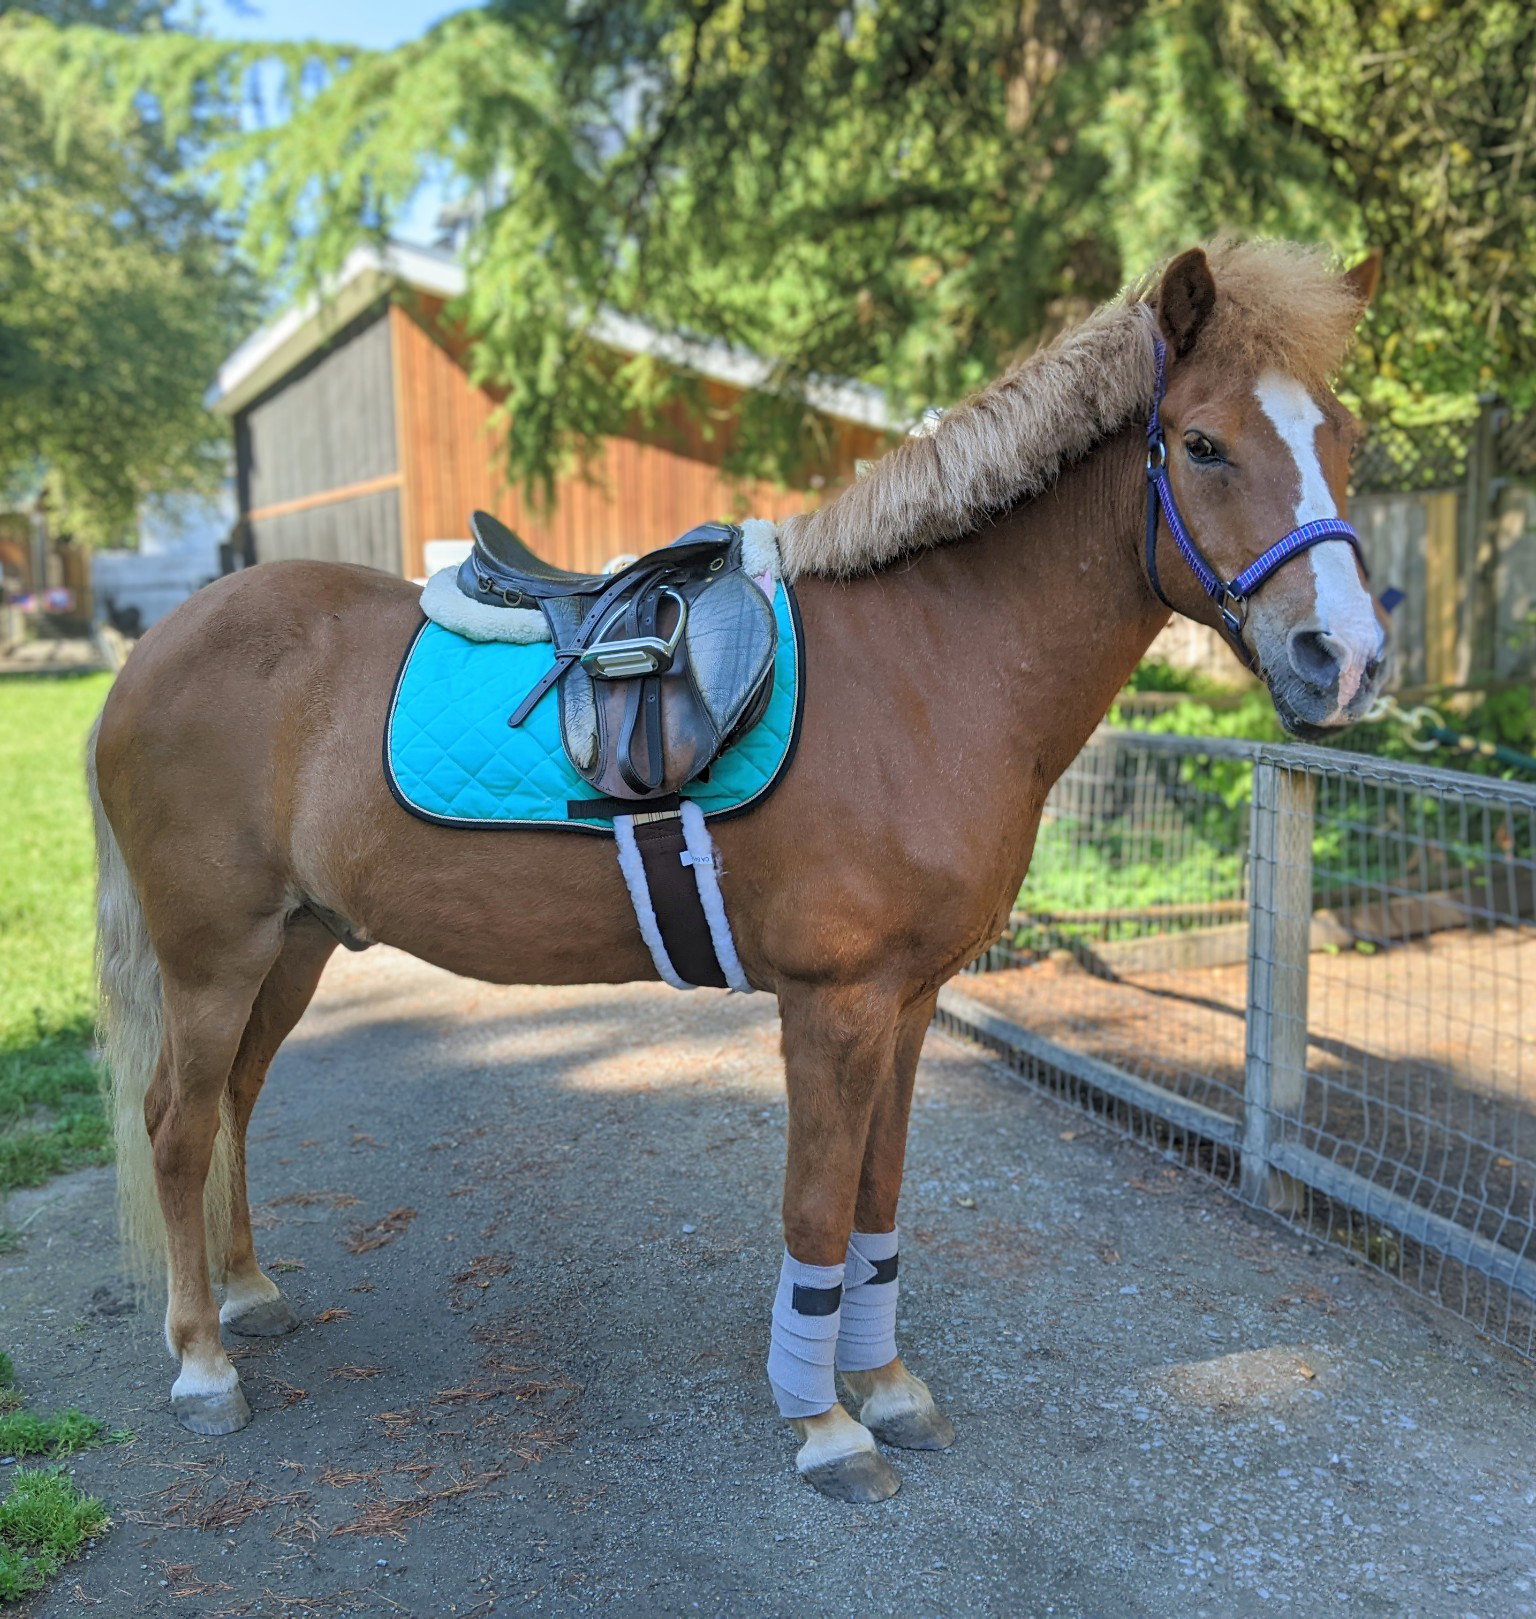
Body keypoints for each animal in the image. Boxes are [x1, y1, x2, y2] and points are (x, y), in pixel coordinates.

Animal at [89, 238, 1388, 1503]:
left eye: (1344, 437)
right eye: (1204, 442)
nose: (1347, 659)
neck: (926, 666)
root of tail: (150, 653)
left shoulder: (908, 1005)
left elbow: (876, 1198)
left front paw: (887, 1386)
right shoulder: (833, 1004)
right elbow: (815, 1207)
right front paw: (823, 1422)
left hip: (296, 942)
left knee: (235, 1102)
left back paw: (250, 1296)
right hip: (214, 954)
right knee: (176, 1122)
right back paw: (204, 1362)